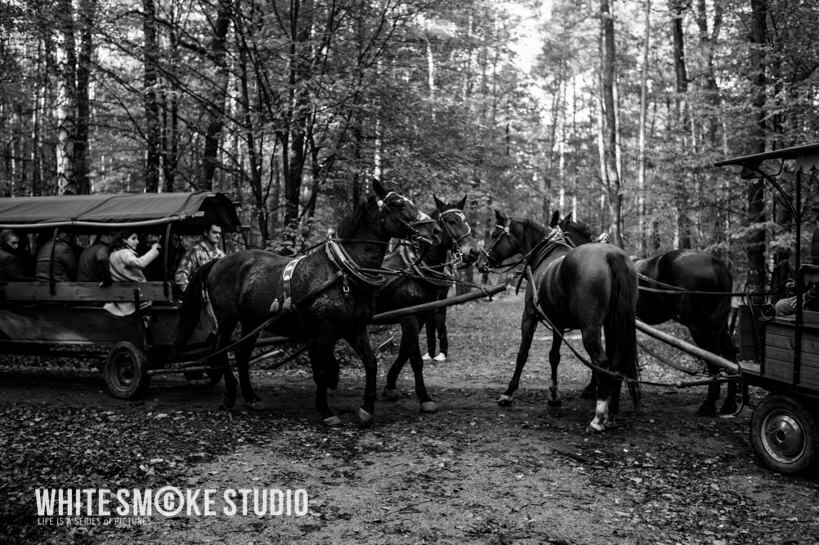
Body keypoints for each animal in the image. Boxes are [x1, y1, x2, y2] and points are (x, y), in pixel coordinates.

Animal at [172, 183, 438, 424]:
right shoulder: (323, 331)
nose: (433, 229)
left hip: (251, 321)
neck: (341, 272)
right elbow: (322, 370)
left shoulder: (354, 327)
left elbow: (371, 364)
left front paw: (366, 408)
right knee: (220, 350)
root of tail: (218, 261)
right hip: (227, 318)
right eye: (398, 204)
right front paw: (326, 411)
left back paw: (251, 397)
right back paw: (229, 394)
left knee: (241, 353)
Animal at [378, 196, 480, 412]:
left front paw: (390, 386)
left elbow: (404, 352)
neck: (414, 270)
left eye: (465, 219)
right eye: (451, 221)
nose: (474, 252)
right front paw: (424, 397)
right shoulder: (409, 316)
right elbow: (415, 358)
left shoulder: (420, 315)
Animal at [474, 210, 640, 432]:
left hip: (590, 329)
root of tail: (610, 255)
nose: (479, 262)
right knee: (617, 362)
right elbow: (554, 356)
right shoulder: (558, 323)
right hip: (613, 324)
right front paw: (553, 394)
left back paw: (598, 417)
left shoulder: (529, 316)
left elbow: (522, 354)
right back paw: (611, 412)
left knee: (601, 362)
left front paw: (509, 393)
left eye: (494, 234)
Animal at [560, 210, 740, 414]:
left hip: (699, 326)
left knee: (712, 358)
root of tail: (716, 263)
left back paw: (708, 404)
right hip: (718, 323)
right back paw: (729, 403)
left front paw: (594, 388)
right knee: (729, 354)